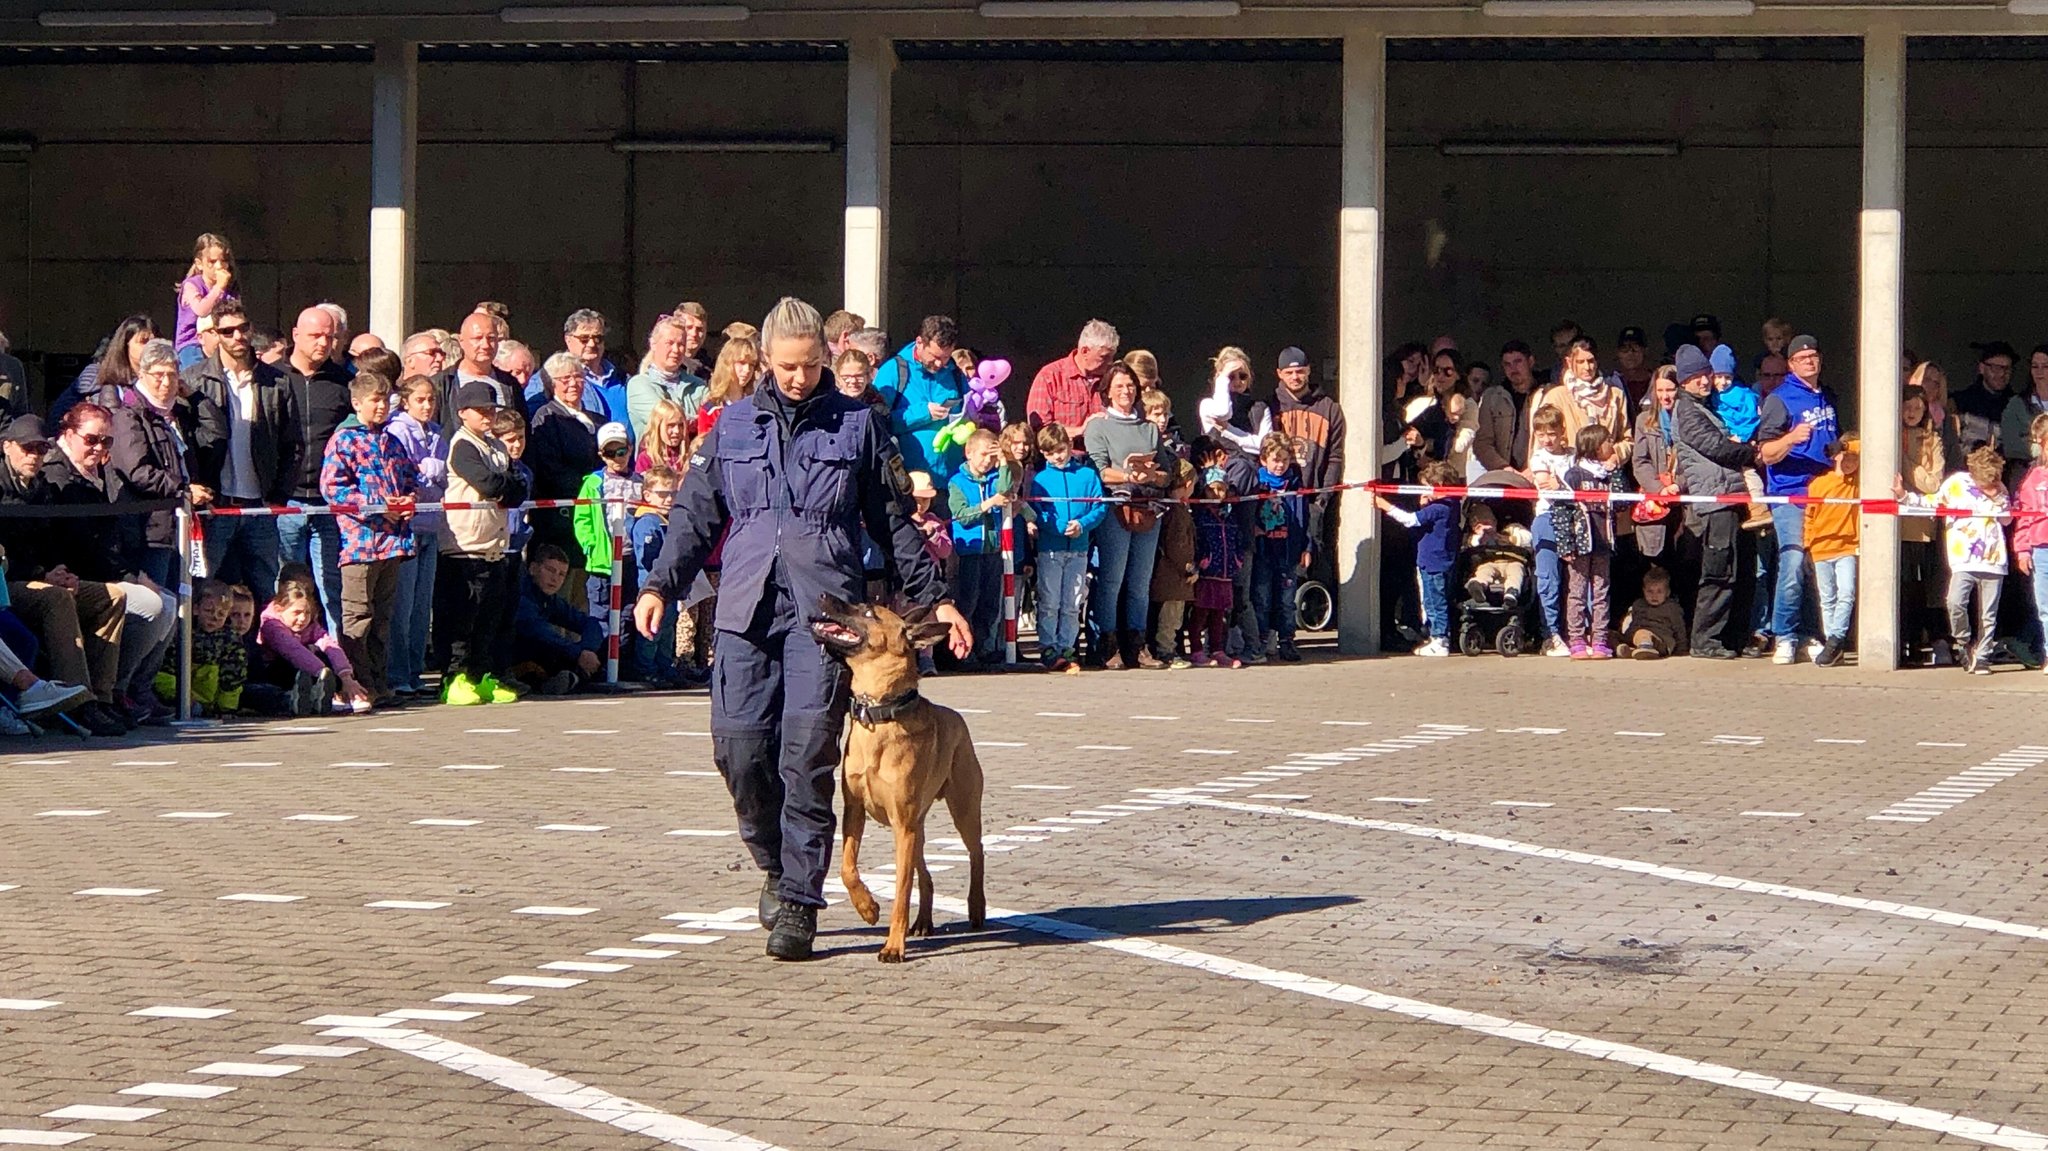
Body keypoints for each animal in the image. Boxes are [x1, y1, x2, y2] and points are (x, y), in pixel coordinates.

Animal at [806, 589, 983, 958]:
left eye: (869, 612)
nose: (824, 594)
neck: (878, 712)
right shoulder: (855, 813)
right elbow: (847, 867)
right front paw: (867, 907)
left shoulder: (902, 826)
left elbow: (901, 891)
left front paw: (893, 946)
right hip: (917, 829)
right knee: (926, 875)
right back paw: (924, 921)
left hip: (961, 809)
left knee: (977, 854)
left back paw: (976, 907)